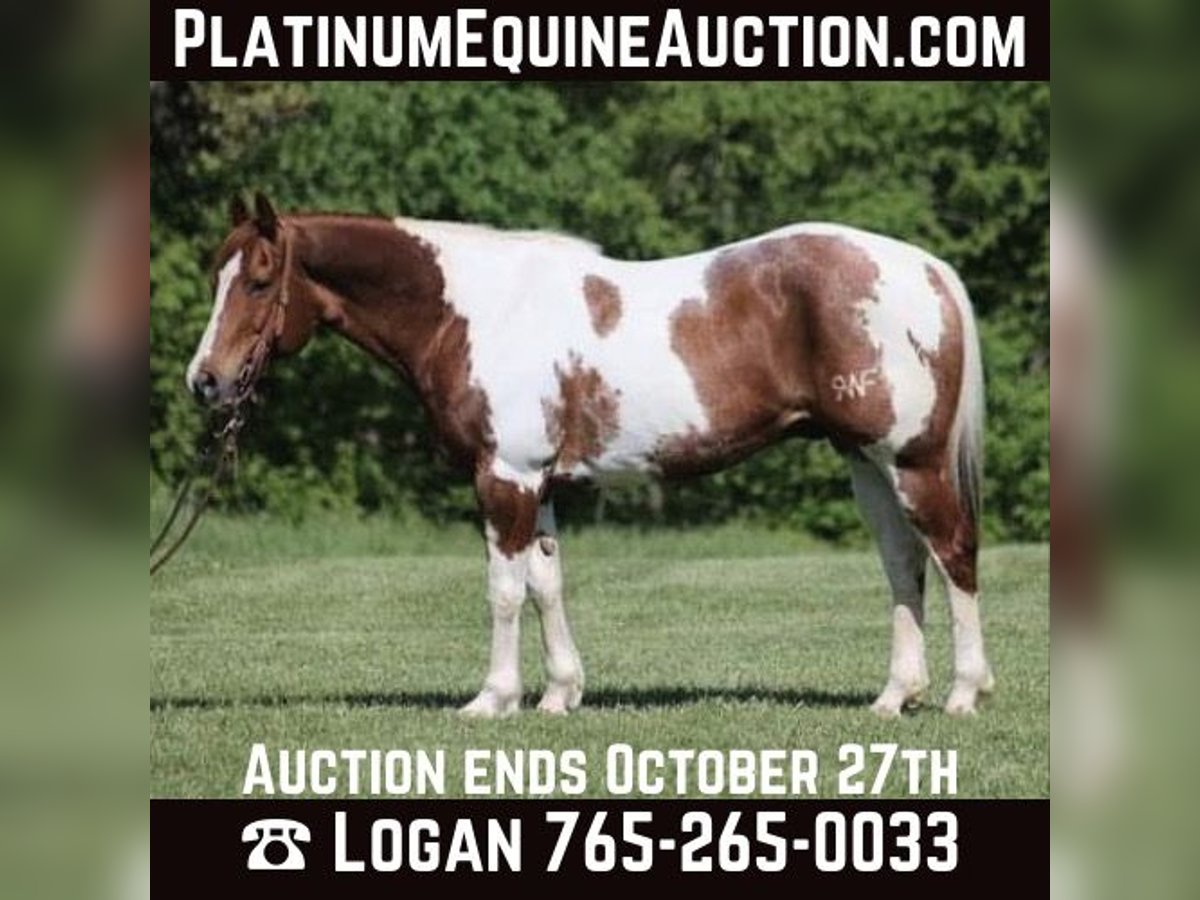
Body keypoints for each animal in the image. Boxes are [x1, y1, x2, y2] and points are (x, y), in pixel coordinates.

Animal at [185, 192, 993, 718]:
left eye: (259, 280)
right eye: (216, 276)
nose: (206, 381)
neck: (475, 313)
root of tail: (927, 269)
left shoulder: (504, 477)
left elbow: (504, 590)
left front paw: (493, 699)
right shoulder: (536, 481)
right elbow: (547, 584)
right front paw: (559, 694)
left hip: (911, 462)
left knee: (953, 553)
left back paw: (963, 693)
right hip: (866, 464)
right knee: (903, 563)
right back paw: (894, 696)